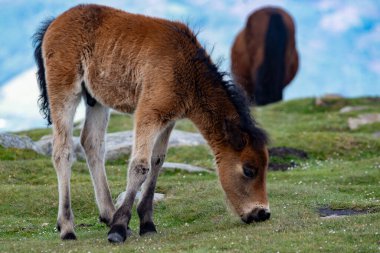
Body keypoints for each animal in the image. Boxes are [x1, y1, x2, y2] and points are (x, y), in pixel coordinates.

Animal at [32, 3, 270, 243]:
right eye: (249, 170)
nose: (262, 213)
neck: (186, 68)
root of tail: (54, 23)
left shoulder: (168, 119)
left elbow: (157, 161)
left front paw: (146, 224)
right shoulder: (148, 112)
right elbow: (140, 166)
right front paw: (118, 228)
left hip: (96, 100)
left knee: (91, 143)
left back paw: (107, 214)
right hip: (64, 90)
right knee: (62, 150)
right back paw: (67, 227)